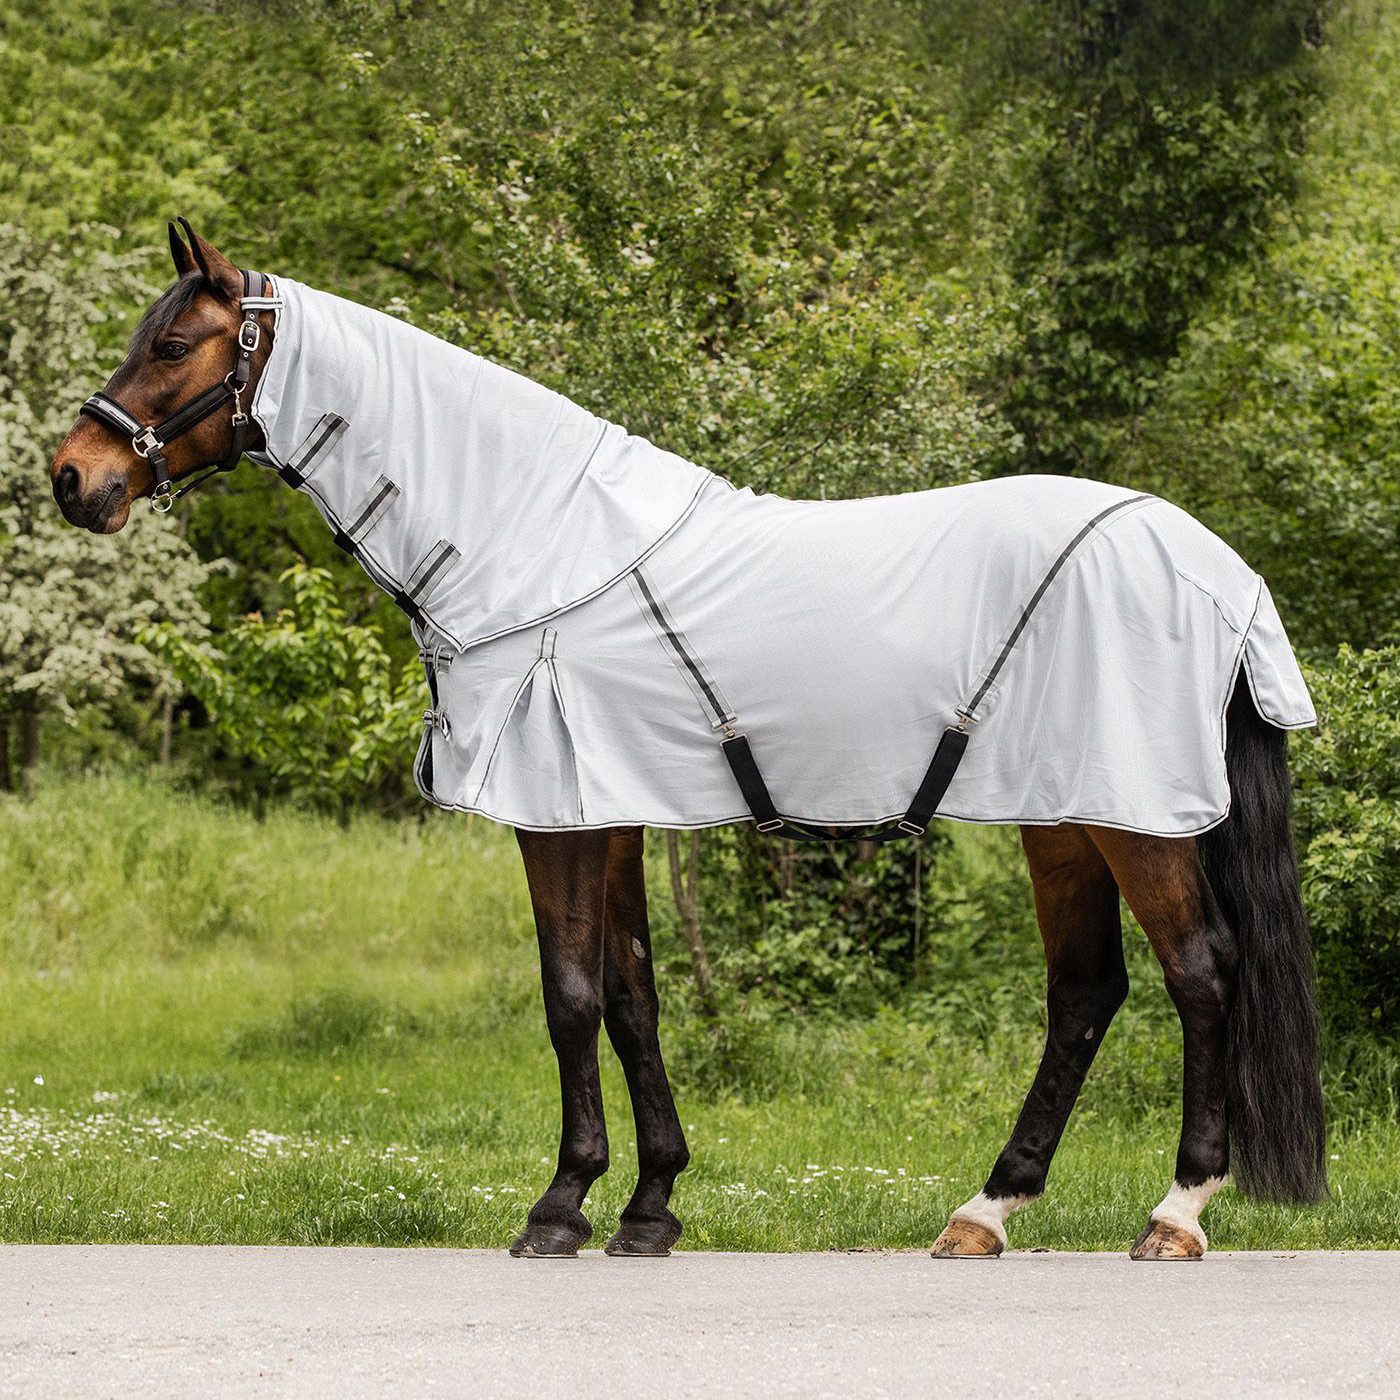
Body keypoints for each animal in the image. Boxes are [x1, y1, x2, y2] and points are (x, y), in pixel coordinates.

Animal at [50, 221, 1327, 1261]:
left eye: (175, 345)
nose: (73, 477)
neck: (537, 543)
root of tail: (1214, 568)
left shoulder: (556, 817)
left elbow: (569, 993)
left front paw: (559, 1205)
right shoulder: (607, 811)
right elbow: (632, 995)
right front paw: (649, 1204)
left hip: (1132, 817)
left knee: (1199, 970)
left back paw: (1174, 1211)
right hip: (1062, 813)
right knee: (1085, 989)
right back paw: (984, 1209)